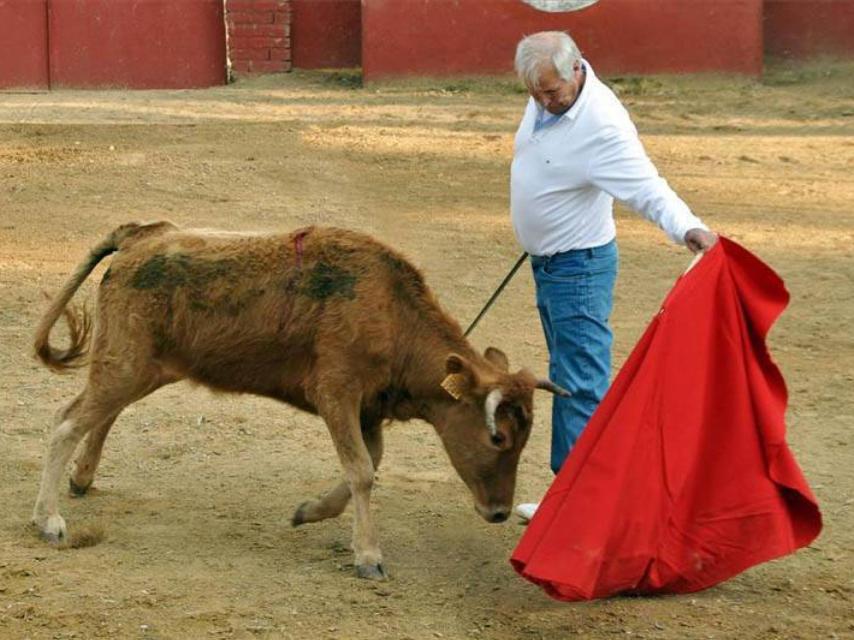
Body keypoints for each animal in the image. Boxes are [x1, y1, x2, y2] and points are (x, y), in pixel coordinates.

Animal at [31, 224, 568, 580]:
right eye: (497, 436)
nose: (498, 513)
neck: (392, 313)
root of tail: (140, 236)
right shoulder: (336, 393)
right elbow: (362, 470)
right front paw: (368, 556)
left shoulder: (367, 411)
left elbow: (366, 465)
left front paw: (308, 511)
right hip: (126, 363)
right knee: (68, 421)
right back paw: (48, 519)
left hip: (145, 368)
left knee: (101, 415)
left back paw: (81, 479)